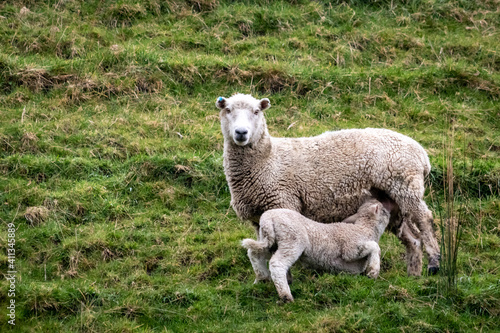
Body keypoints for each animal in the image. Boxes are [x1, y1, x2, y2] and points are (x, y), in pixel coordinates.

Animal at [217, 93, 440, 274]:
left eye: (256, 111)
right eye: (228, 110)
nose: (241, 133)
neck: (267, 160)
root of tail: (422, 154)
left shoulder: (283, 202)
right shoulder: (259, 219)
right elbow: (265, 248)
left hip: (405, 185)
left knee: (425, 219)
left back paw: (434, 262)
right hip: (393, 200)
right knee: (413, 239)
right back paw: (414, 274)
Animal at [242, 198, 390, 302]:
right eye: (383, 211)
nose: (390, 212)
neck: (365, 229)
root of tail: (268, 217)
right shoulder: (350, 249)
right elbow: (375, 247)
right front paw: (373, 271)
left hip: (270, 240)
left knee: (254, 253)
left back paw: (262, 279)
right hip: (292, 240)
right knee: (277, 264)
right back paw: (285, 295)